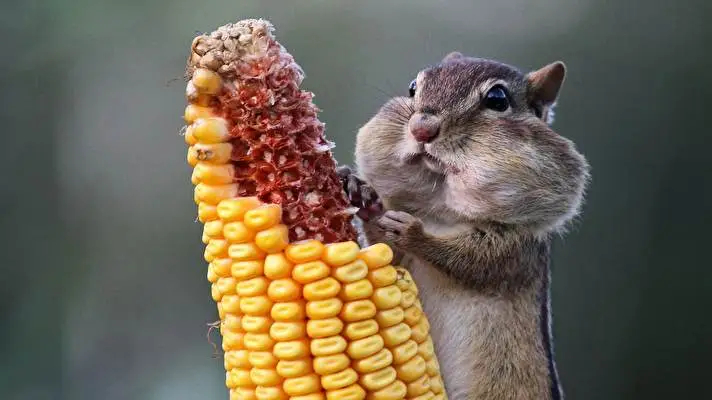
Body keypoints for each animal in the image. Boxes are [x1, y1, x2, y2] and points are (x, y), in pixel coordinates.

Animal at [337, 52, 590, 400]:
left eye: (497, 99)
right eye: (413, 87)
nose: (421, 128)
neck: (442, 213)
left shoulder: (515, 250)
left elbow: (471, 262)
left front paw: (413, 233)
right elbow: (385, 253)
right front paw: (361, 194)